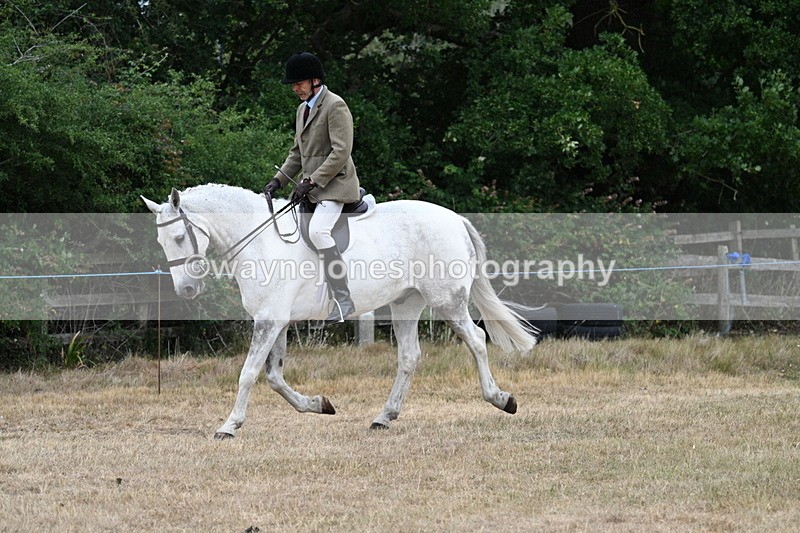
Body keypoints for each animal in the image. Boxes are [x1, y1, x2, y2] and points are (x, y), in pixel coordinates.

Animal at [141, 184, 537, 438]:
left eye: (179, 237)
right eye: (161, 241)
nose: (186, 290)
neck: (260, 241)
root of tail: (455, 219)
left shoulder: (269, 320)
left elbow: (249, 373)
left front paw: (229, 425)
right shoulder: (277, 321)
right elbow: (274, 377)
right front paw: (319, 404)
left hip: (447, 300)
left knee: (478, 340)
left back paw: (502, 399)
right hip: (405, 302)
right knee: (409, 356)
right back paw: (384, 417)